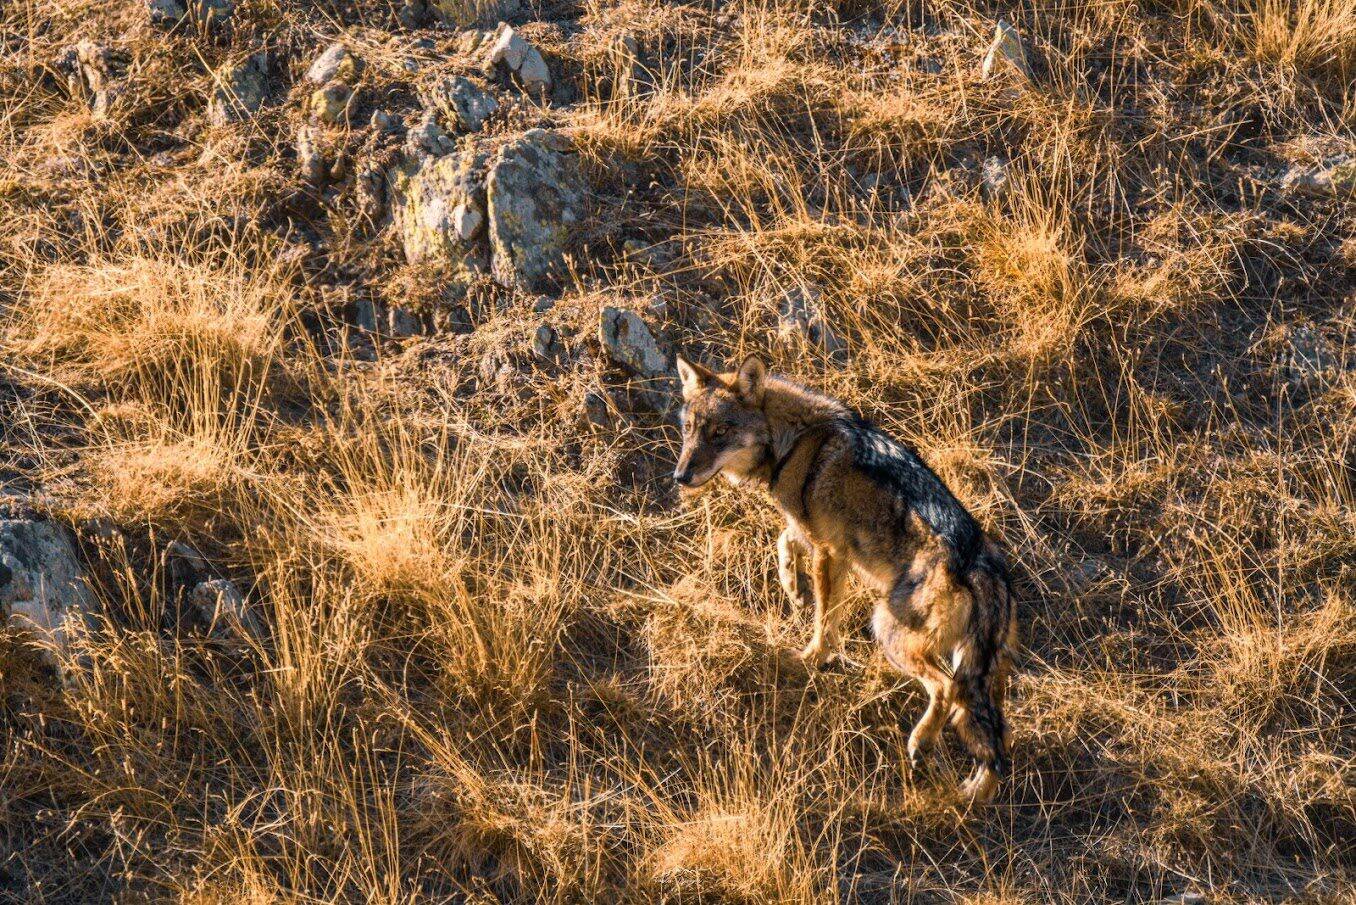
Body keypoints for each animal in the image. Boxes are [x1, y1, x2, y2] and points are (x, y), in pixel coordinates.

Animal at [672, 354, 1018, 803]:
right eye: (689, 430)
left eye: (720, 433)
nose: (680, 477)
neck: (795, 443)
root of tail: (980, 564)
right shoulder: (818, 539)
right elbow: (785, 543)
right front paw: (792, 586)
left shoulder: (830, 552)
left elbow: (824, 621)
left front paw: (809, 658)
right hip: (983, 679)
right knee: (998, 740)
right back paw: (972, 795)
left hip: (888, 629)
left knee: (945, 690)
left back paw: (921, 743)